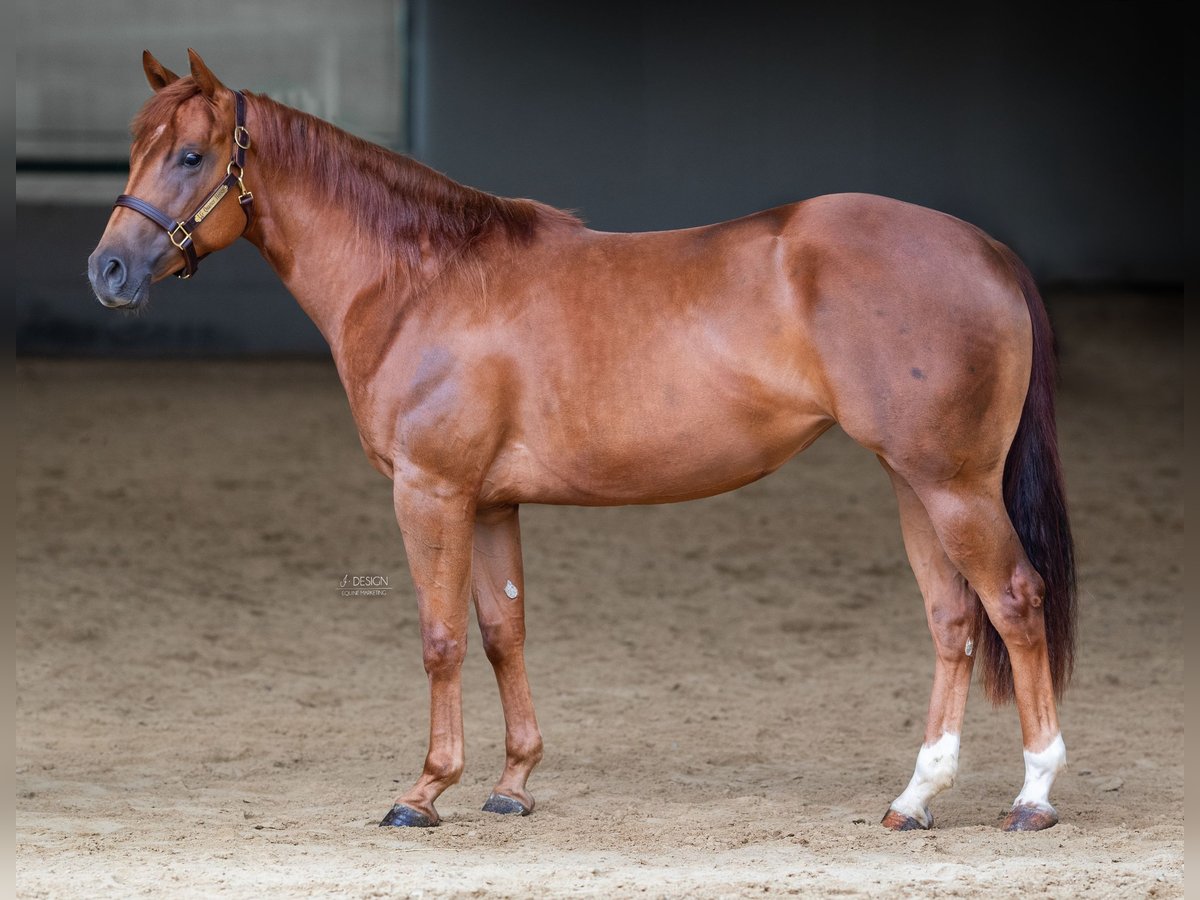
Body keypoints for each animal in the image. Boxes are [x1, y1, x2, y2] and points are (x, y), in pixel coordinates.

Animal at [87, 52, 1080, 835]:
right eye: (136, 147)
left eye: (190, 154)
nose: (108, 270)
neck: (422, 279)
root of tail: (986, 250)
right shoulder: (491, 502)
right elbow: (503, 632)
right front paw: (513, 784)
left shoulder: (430, 493)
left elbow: (441, 638)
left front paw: (424, 792)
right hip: (915, 482)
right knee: (953, 620)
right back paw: (915, 798)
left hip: (954, 486)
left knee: (1014, 602)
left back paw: (1033, 796)